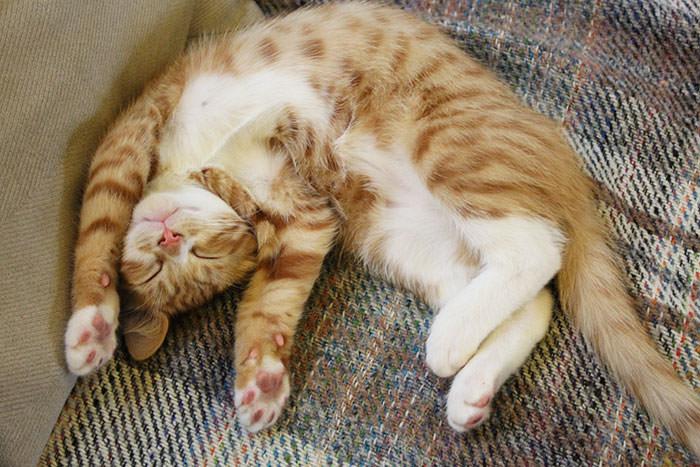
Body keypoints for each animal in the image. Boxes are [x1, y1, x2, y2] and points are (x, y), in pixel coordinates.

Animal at [63, 0, 696, 454]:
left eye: (202, 255)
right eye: (159, 266)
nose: (171, 237)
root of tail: (563, 158)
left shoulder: (132, 131)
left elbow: (98, 228)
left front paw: (91, 327)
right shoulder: (308, 223)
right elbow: (271, 301)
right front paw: (260, 378)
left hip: (444, 145)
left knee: (537, 248)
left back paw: (447, 343)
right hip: (402, 237)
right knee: (533, 297)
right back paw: (470, 382)